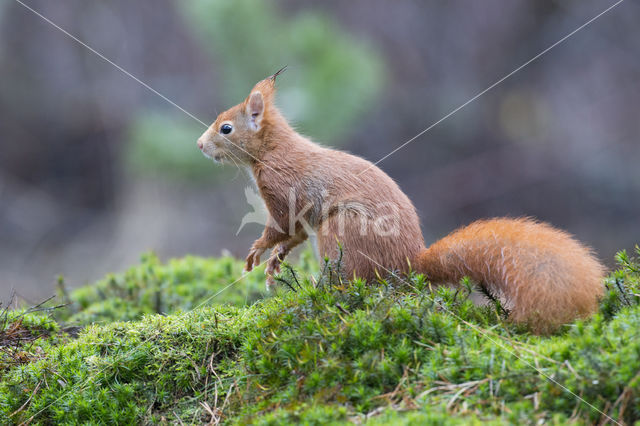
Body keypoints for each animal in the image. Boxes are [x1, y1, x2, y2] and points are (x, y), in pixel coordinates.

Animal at [199, 71, 604, 332]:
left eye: (226, 128)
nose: (200, 145)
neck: (272, 150)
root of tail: (409, 267)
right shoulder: (298, 214)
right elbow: (293, 235)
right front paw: (274, 262)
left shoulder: (284, 190)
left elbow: (281, 225)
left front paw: (258, 250)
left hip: (342, 232)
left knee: (356, 284)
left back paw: (321, 292)